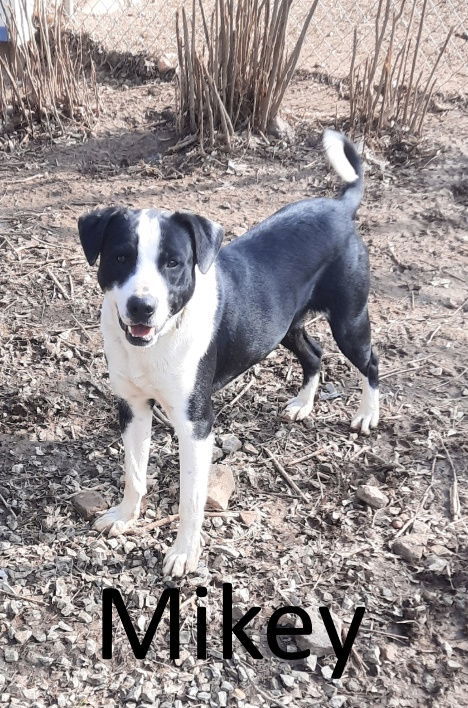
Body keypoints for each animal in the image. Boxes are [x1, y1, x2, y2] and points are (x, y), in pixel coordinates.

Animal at [77, 130, 376, 580]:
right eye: (120, 257)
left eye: (173, 263)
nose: (141, 307)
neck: (161, 339)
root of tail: (340, 206)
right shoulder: (132, 407)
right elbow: (134, 472)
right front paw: (125, 516)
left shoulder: (196, 425)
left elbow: (190, 497)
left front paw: (184, 553)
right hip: (284, 327)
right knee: (314, 353)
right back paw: (302, 405)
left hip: (349, 321)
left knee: (370, 362)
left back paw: (367, 415)